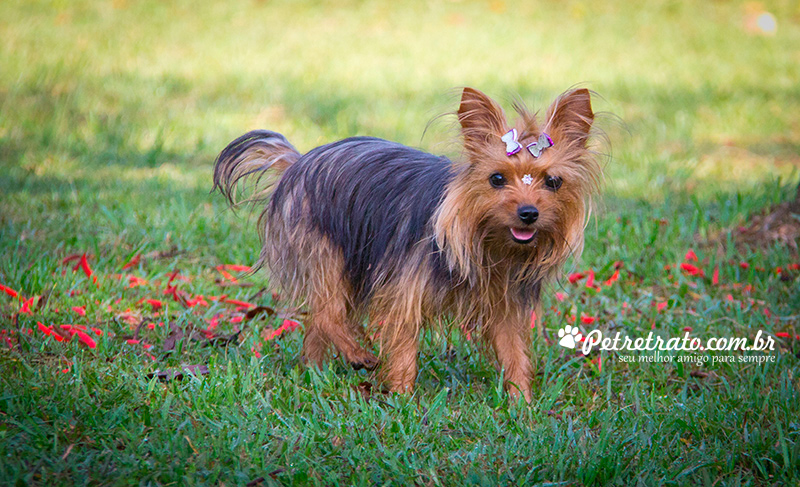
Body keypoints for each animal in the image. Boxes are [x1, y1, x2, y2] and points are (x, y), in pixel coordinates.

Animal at [212, 86, 600, 400]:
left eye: (553, 181)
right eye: (497, 179)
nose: (528, 213)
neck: (487, 241)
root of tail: (297, 162)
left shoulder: (503, 300)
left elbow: (513, 350)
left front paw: (523, 403)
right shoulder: (404, 288)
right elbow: (401, 344)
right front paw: (401, 396)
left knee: (319, 321)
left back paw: (314, 370)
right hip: (323, 248)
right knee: (328, 311)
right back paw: (358, 354)